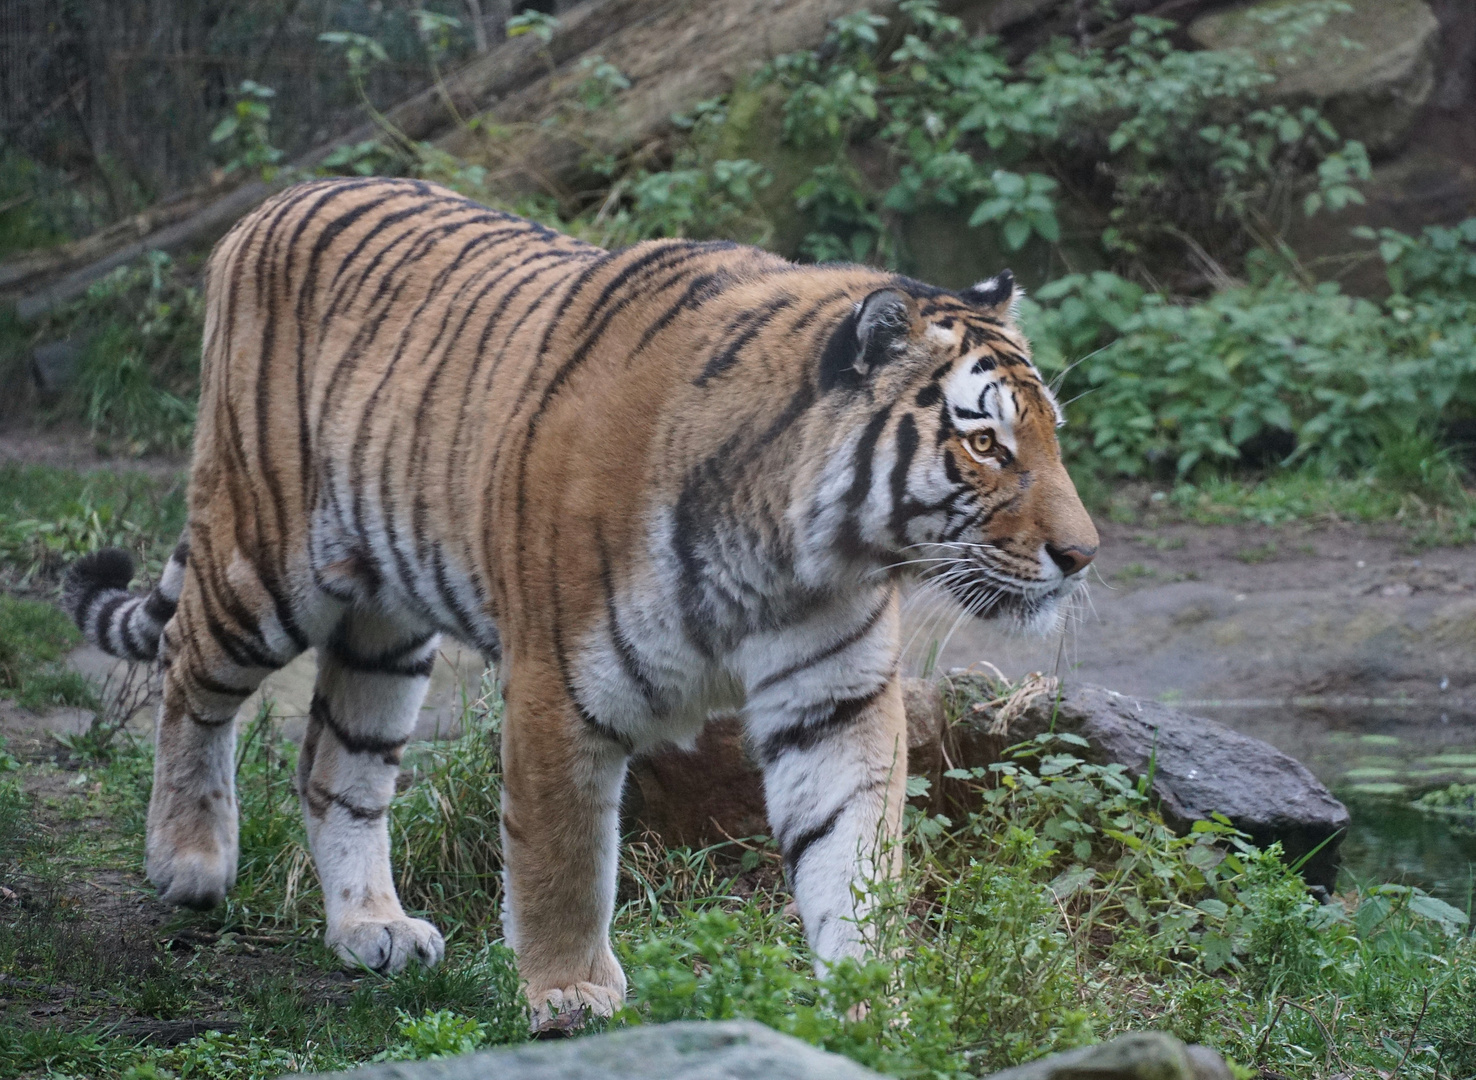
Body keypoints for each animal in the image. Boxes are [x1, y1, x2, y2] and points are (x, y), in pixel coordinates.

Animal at [66, 177, 1098, 1026]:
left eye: (1049, 436)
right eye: (986, 445)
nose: (1082, 556)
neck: (798, 551)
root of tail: (271, 202)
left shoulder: (833, 703)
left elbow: (855, 857)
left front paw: (875, 1007)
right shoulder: (559, 683)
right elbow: (562, 857)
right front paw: (569, 993)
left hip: (385, 625)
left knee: (335, 759)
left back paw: (371, 927)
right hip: (264, 560)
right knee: (188, 671)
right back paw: (189, 862)